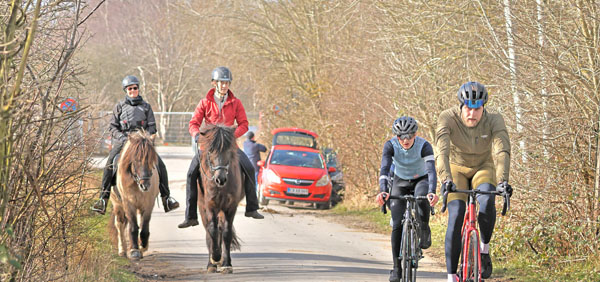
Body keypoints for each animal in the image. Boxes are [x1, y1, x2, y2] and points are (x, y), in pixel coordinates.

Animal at [109, 130, 158, 260]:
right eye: (135, 160)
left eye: (152, 160)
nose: (145, 185)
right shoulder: (128, 204)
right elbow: (133, 227)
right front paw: (134, 250)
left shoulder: (148, 204)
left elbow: (144, 225)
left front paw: (143, 246)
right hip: (117, 204)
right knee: (120, 224)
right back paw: (122, 250)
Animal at [197, 124, 244, 274]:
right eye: (211, 150)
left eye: (228, 150)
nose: (220, 179)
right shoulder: (210, 205)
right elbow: (212, 231)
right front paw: (215, 258)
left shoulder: (230, 206)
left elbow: (226, 233)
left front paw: (226, 264)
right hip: (203, 208)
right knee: (209, 231)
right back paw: (212, 263)